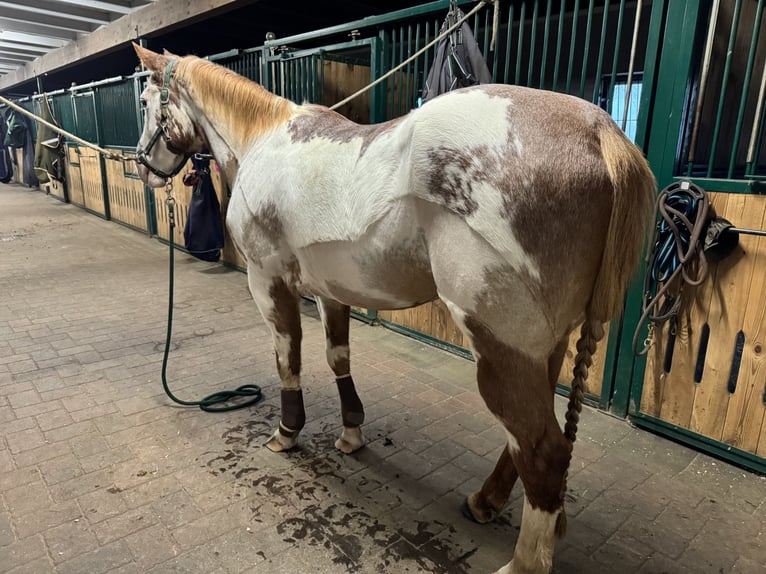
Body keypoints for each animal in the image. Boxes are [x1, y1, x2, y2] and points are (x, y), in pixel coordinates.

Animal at [132, 46, 656, 574]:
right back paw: (484, 502)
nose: (143, 168)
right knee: (528, 440)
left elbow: (288, 359)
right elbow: (337, 357)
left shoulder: (268, 282)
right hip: (543, 347)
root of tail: (600, 133)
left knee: (544, 451)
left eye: (145, 99)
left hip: (500, 346)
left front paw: (286, 432)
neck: (263, 139)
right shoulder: (331, 290)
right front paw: (351, 434)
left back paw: (521, 561)